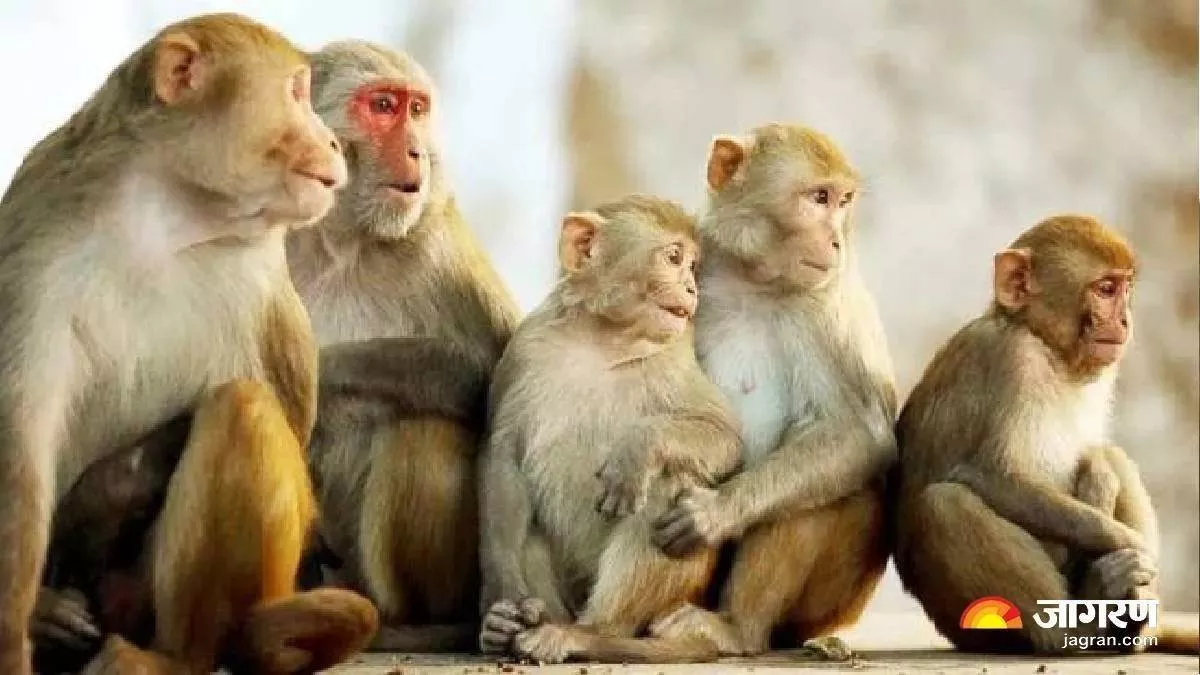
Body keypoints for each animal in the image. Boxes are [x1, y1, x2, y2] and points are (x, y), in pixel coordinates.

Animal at [0, 13, 380, 673]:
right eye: (297, 93)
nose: (333, 144)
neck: (168, 215)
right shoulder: (35, 240)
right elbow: (21, 448)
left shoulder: (261, 275)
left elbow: (286, 412)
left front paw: (96, 502)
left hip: (141, 601)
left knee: (243, 409)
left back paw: (177, 657)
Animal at [285, 41, 521, 652]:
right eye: (384, 106)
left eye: (417, 110)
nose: (416, 150)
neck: (338, 240)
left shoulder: (437, 241)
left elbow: (494, 377)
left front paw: (321, 370)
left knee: (425, 427)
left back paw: (410, 627)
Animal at [477, 195, 744, 664]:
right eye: (674, 258)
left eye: (693, 266)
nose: (692, 289)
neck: (602, 341)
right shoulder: (524, 349)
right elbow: (504, 457)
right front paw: (503, 604)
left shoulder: (675, 357)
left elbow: (724, 436)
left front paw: (638, 450)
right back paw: (519, 627)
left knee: (668, 481)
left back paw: (591, 634)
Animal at [646, 124, 896, 661]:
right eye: (819, 197)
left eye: (843, 201)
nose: (837, 240)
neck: (752, 281)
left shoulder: (827, 306)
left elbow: (858, 433)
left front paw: (715, 512)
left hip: (831, 606)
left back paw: (737, 629)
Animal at [892, 214, 1199, 655]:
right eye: (1106, 289)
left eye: (1124, 289)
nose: (1125, 320)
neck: (1046, 345)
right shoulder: (1014, 359)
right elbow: (996, 476)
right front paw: (1132, 546)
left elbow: (1097, 457)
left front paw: (1101, 479)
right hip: (962, 622)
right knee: (944, 504)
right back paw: (1076, 628)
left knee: (1115, 457)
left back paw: (1125, 618)